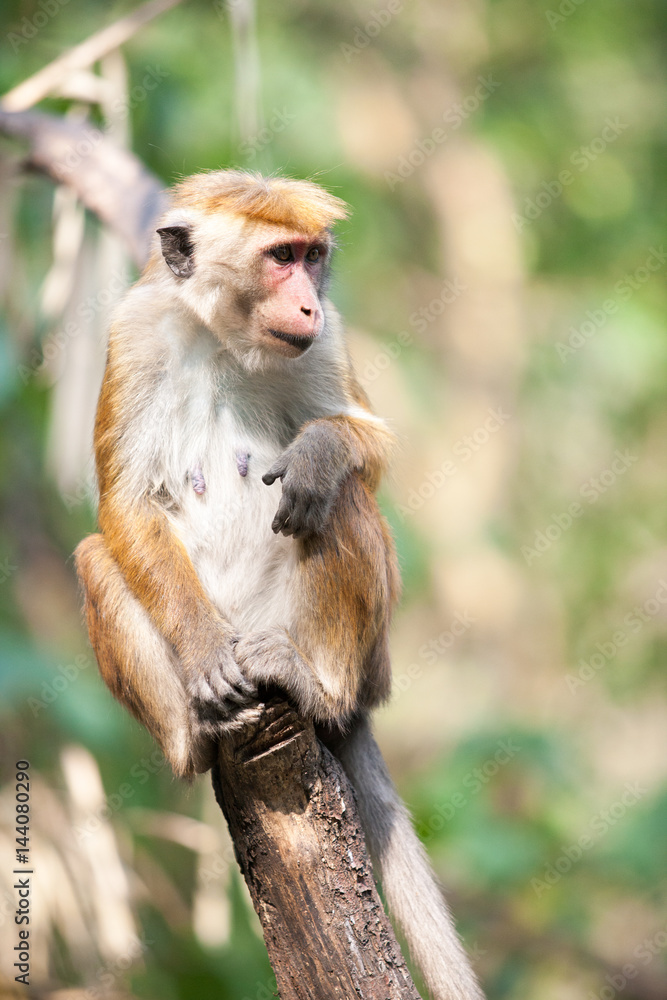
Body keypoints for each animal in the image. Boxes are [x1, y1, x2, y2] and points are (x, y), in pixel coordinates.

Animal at [75, 168, 486, 996]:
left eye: (312, 256)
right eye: (278, 257)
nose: (308, 302)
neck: (222, 339)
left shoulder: (326, 339)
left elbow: (368, 448)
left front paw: (320, 450)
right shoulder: (134, 332)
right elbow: (123, 505)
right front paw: (203, 655)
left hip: (339, 644)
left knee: (343, 502)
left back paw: (313, 685)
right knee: (97, 555)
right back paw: (193, 738)